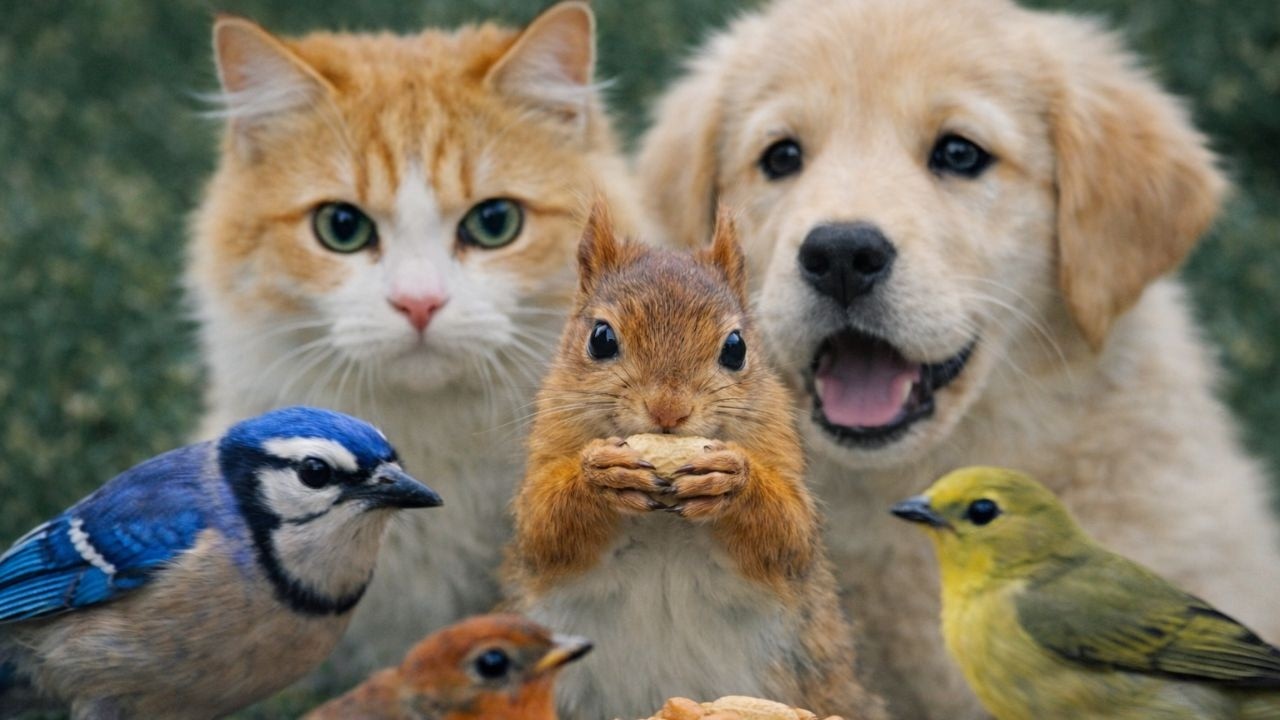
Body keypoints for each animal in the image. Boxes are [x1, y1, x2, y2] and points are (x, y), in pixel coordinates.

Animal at [503, 201, 886, 720]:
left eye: (736, 347)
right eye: (600, 338)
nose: (669, 410)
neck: (664, 522)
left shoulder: (778, 446)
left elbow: (789, 532)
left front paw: (731, 480)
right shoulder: (550, 443)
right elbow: (542, 527)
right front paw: (600, 476)